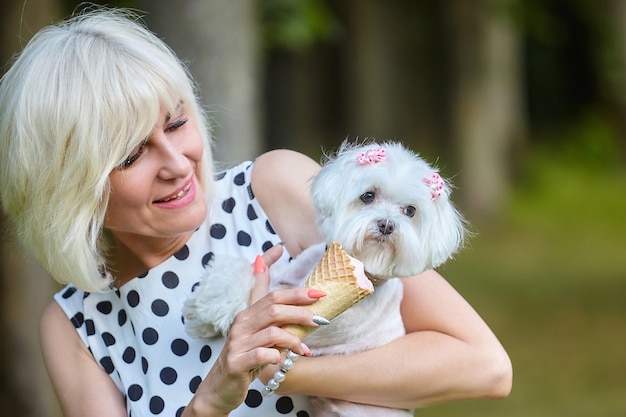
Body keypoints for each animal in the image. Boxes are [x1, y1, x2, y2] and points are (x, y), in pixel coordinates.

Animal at [180, 141, 464, 416]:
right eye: (368, 195)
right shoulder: (290, 275)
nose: (387, 224)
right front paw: (202, 309)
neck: (361, 268)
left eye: (410, 211)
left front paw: (207, 308)